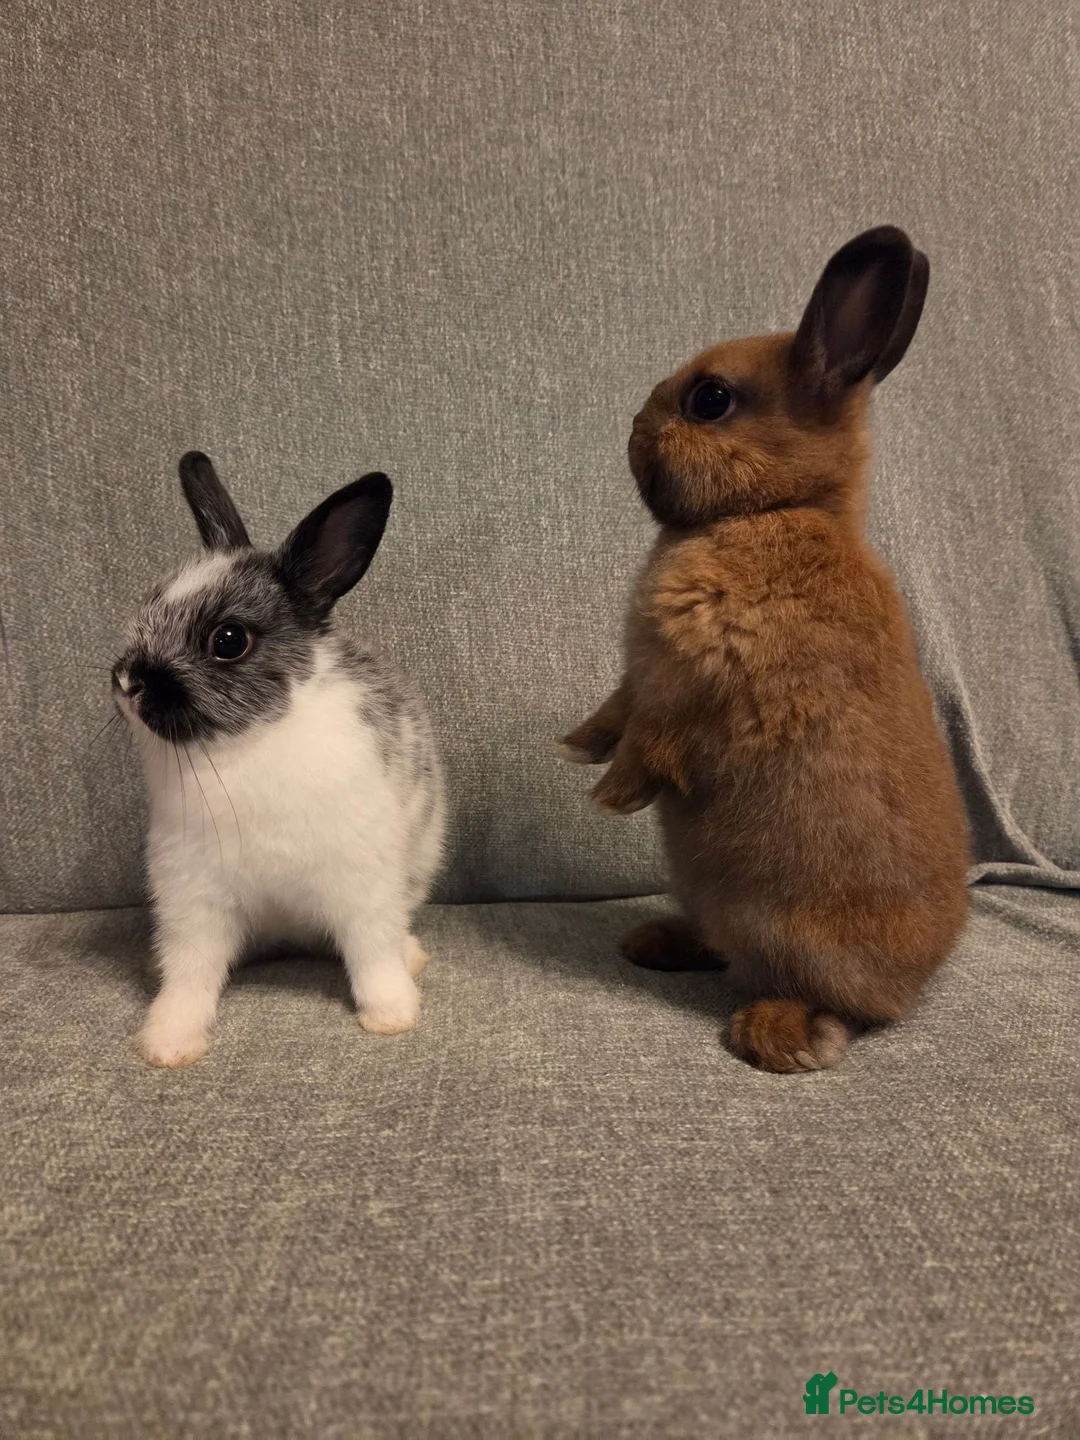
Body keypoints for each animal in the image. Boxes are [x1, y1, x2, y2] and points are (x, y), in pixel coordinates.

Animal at [113, 452, 445, 1067]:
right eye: (149, 602)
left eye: (228, 640)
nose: (128, 681)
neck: (247, 744)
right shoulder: (189, 896)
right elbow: (190, 974)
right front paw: (168, 1044)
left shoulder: (362, 885)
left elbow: (372, 953)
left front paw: (392, 1017)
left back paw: (413, 959)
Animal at [561, 226, 970, 1073]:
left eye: (710, 399)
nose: (632, 429)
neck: (773, 509)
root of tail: (913, 984)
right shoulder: (637, 680)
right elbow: (615, 713)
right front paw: (577, 748)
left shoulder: (693, 686)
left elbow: (653, 740)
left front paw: (611, 796)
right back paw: (655, 942)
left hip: (789, 932)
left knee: (827, 1005)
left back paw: (772, 1036)